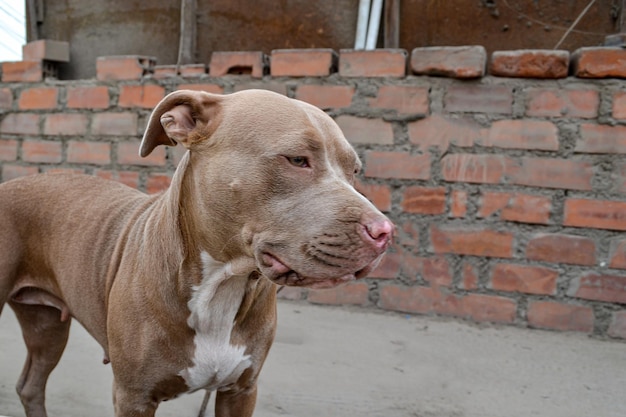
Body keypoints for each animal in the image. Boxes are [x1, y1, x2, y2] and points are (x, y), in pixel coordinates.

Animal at [0, 88, 390, 416]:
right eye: (297, 159)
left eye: (354, 170)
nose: (384, 232)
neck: (222, 281)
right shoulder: (133, 397)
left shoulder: (241, 391)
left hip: (46, 324)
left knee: (31, 385)